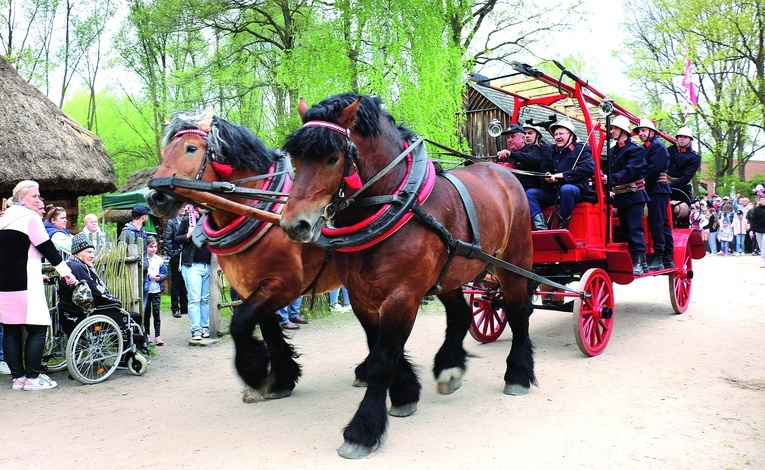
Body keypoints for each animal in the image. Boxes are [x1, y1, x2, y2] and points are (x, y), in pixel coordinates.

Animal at [146, 109, 340, 396]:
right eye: (165, 150)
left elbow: (239, 324)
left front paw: (254, 371)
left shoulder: (284, 285)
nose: (155, 197)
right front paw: (281, 380)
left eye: (191, 148)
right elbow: (270, 332)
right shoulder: (254, 288)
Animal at [280, 93, 536, 458]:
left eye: (332, 158)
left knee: (518, 313)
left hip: (513, 262)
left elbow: (383, 359)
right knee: (461, 315)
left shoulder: (403, 295)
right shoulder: (361, 296)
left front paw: (362, 431)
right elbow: (379, 349)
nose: (294, 225)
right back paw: (450, 368)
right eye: (296, 158)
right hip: (452, 272)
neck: (396, 202)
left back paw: (518, 374)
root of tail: (502, 171)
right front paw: (405, 393)